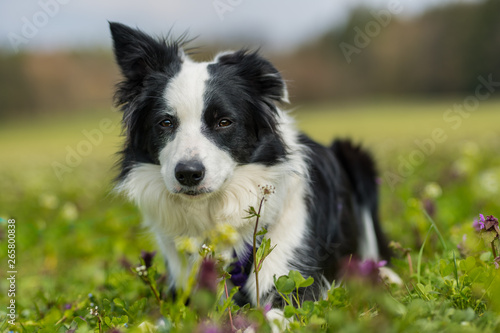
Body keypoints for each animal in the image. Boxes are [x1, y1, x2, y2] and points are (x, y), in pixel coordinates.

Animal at [110, 22, 398, 308]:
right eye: (166, 123)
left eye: (224, 122)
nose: (188, 174)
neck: (216, 209)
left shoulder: (295, 282)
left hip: (356, 158)